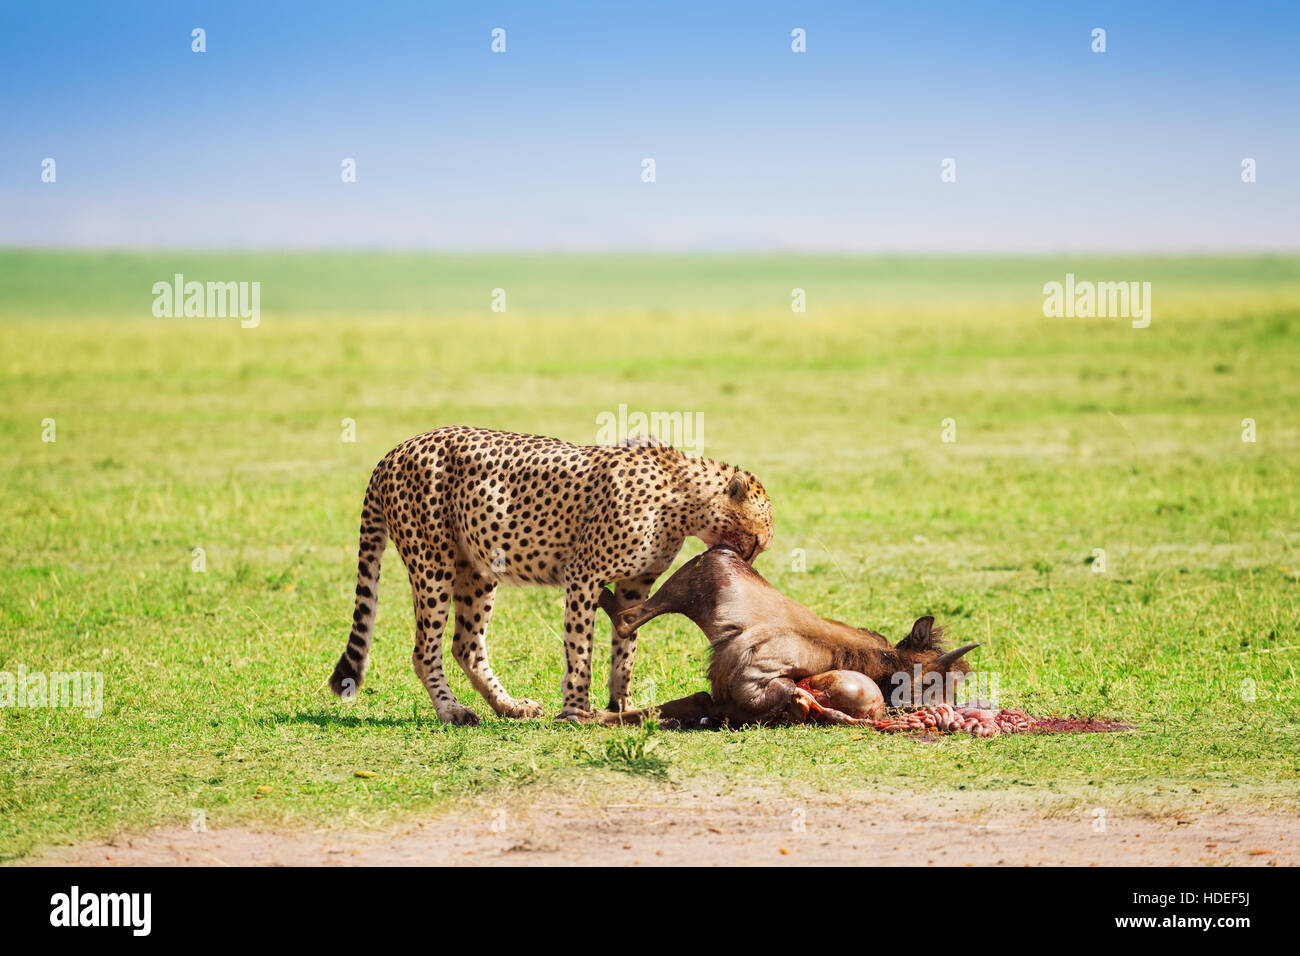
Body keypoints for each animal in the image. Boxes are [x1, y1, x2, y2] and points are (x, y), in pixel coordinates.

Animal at [327, 426, 769, 723]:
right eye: (758, 539)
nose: (749, 565)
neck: (684, 500)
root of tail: (396, 449)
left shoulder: (634, 587)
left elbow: (625, 648)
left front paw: (622, 704)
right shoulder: (584, 576)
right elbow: (580, 650)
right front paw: (576, 709)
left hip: (478, 568)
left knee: (466, 645)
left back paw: (508, 706)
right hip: (432, 564)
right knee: (425, 651)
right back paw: (453, 711)